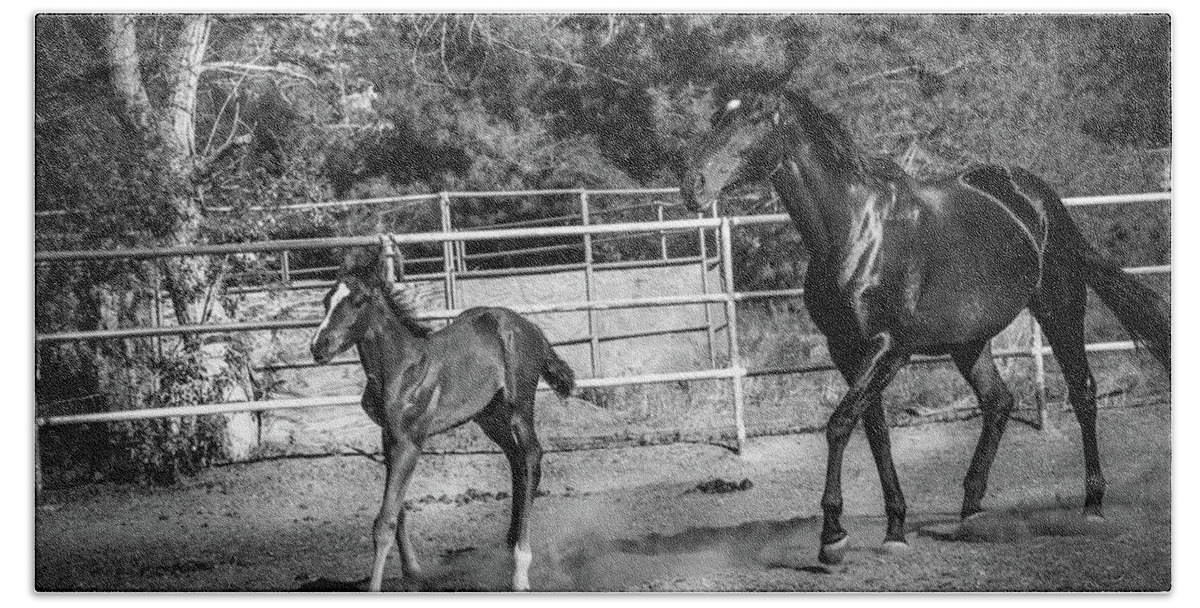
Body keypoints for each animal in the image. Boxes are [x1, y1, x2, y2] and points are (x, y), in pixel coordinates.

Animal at [307, 245, 573, 590]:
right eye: (326, 300)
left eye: (358, 300)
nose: (318, 346)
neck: (401, 368)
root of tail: (532, 328)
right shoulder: (389, 436)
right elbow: (398, 509)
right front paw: (412, 572)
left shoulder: (410, 440)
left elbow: (385, 521)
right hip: (489, 415)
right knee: (517, 460)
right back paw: (508, 547)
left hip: (519, 406)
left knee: (530, 456)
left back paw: (520, 569)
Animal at [686, 89, 1171, 566]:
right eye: (717, 118)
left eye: (752, 121)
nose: (692, 185)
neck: (855, 232)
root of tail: (1035, 197)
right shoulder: (846, 350)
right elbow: (875, 432)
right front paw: (895, 530)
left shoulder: (890, 347)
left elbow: (840, 424)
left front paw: (833, 537)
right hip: (969, 341)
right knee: (998, 402)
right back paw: (971, 514)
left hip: (1059, 308)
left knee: (1082, 393)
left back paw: (1092, 506)